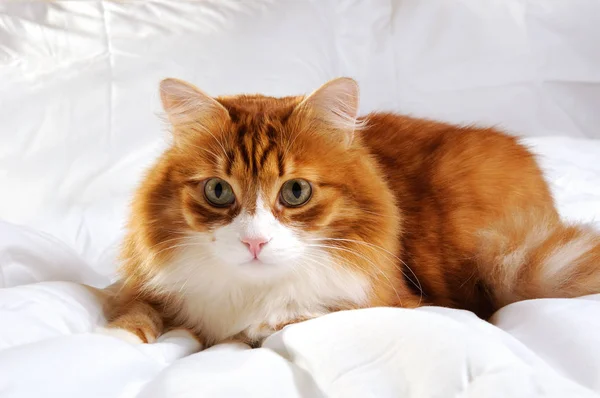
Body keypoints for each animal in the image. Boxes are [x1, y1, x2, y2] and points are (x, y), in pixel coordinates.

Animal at [102, 77, 600, 348]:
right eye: (219, 191)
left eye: (296, 191)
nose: (255, 241)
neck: (253, 292)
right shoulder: (146, 289)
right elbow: (132, 312)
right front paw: (115, 343)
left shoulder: (396, 300)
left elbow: (303, 314)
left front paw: (266, 324)